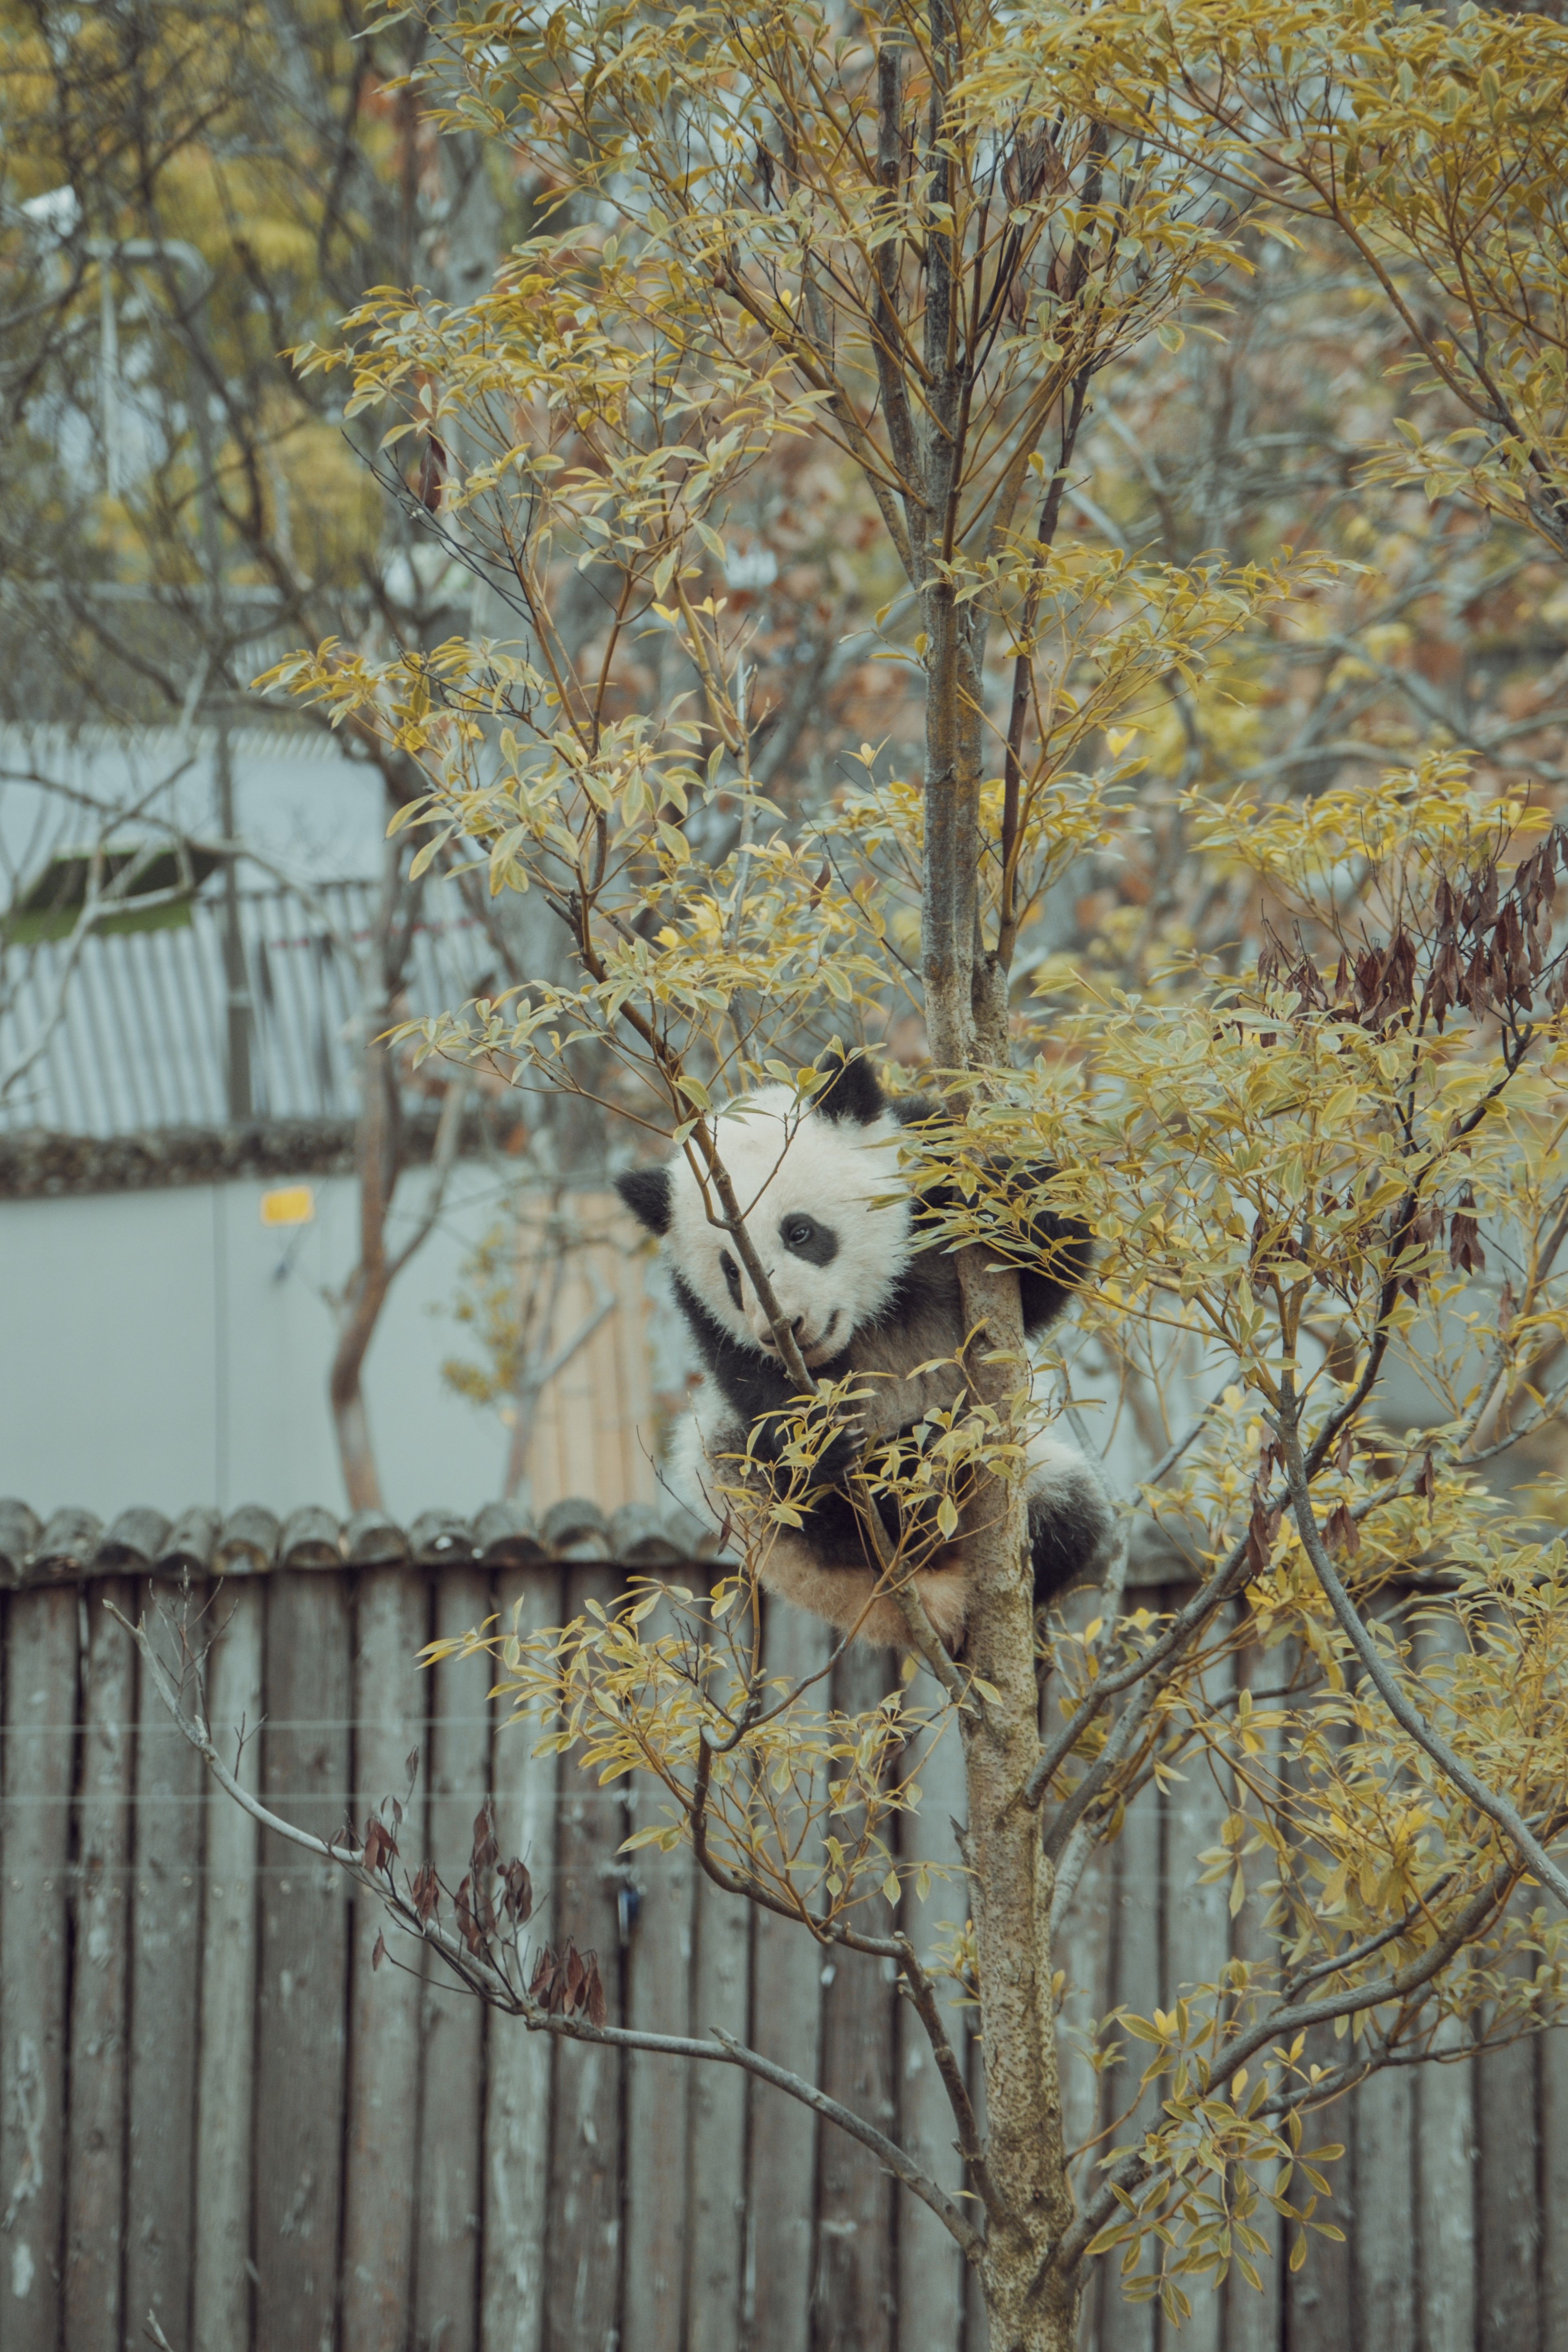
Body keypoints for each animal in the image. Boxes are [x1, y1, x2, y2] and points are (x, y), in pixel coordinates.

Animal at [615, 1051, 1113, 1651]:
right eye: (731, 1270)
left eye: (800, 1232)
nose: (788, 1327)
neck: (869, 1314)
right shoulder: (704, 1311)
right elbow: (749, 1378)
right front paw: (823, 1438)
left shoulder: (926, 1176)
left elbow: (1039, 1276)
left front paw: (1010, 1203)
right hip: (750, 1501)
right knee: (765, 1478)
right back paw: (902, 1474)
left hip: (1039, 1476)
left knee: (1071, 1518)